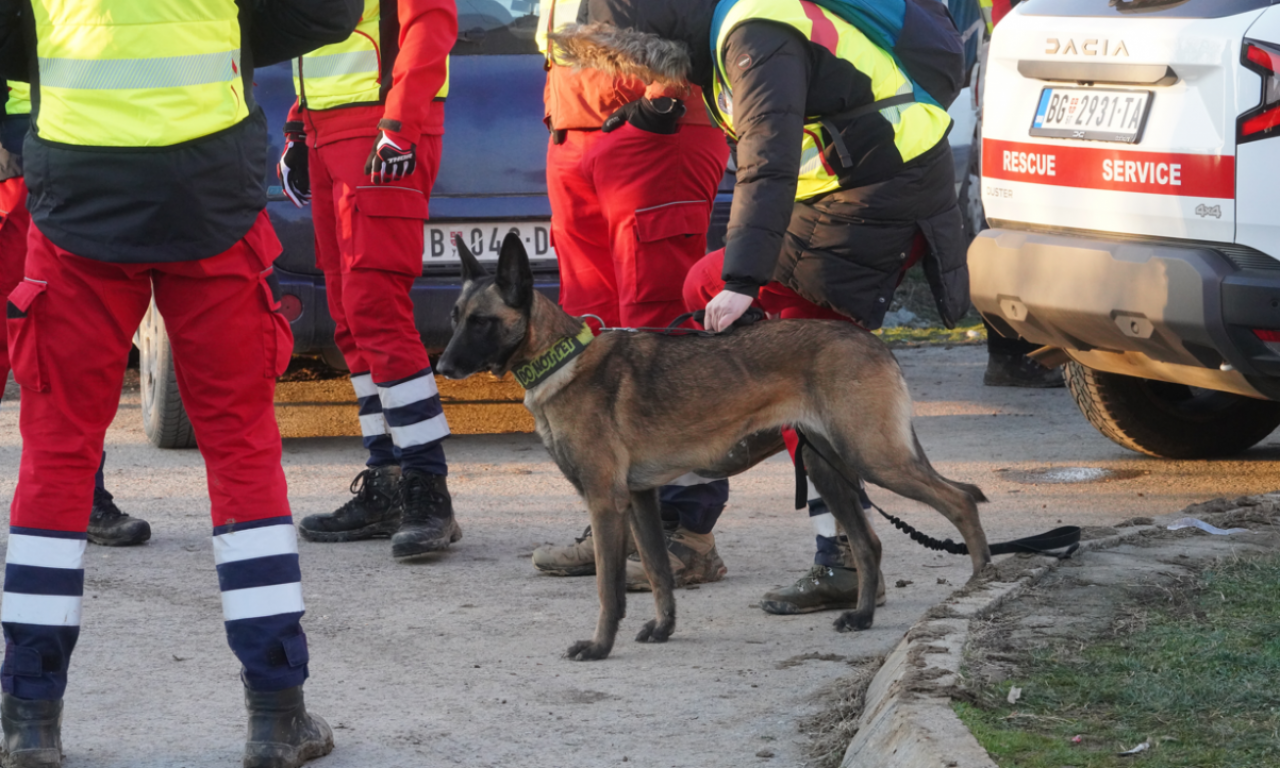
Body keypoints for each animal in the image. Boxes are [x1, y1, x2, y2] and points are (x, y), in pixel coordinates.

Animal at [435, 234, 993, 660]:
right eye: (455, 317)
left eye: (481, 321)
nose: (440, 367)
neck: (561, 359)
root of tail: (871, 341)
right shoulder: (640, 500)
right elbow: (658, 573)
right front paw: (663, 629)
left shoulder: (605, 502)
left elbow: (607, 588)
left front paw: (598, 647)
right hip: (826, 467)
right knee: (869, 541)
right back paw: (860, 616)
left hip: (874, 459)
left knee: (960, 500)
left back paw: (980, 585)